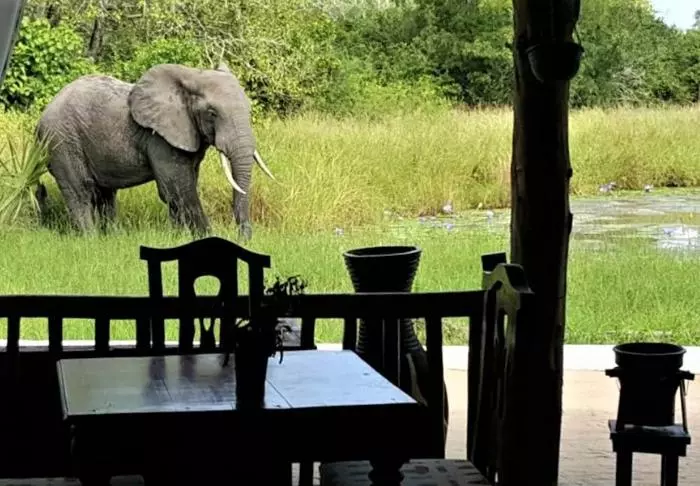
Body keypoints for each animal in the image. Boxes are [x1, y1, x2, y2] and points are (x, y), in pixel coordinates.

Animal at [35, 62, 274, 239]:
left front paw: (178, 237)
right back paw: (91, 240)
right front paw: (207, 238)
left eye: (249, 110)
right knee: (80, 192)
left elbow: (180, 188)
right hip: (61, 141)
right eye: (212, 113)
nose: (243, 238)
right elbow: (178, 188)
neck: (192, 76)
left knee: (106, 194)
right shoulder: (159, 138)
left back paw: (112, 237)